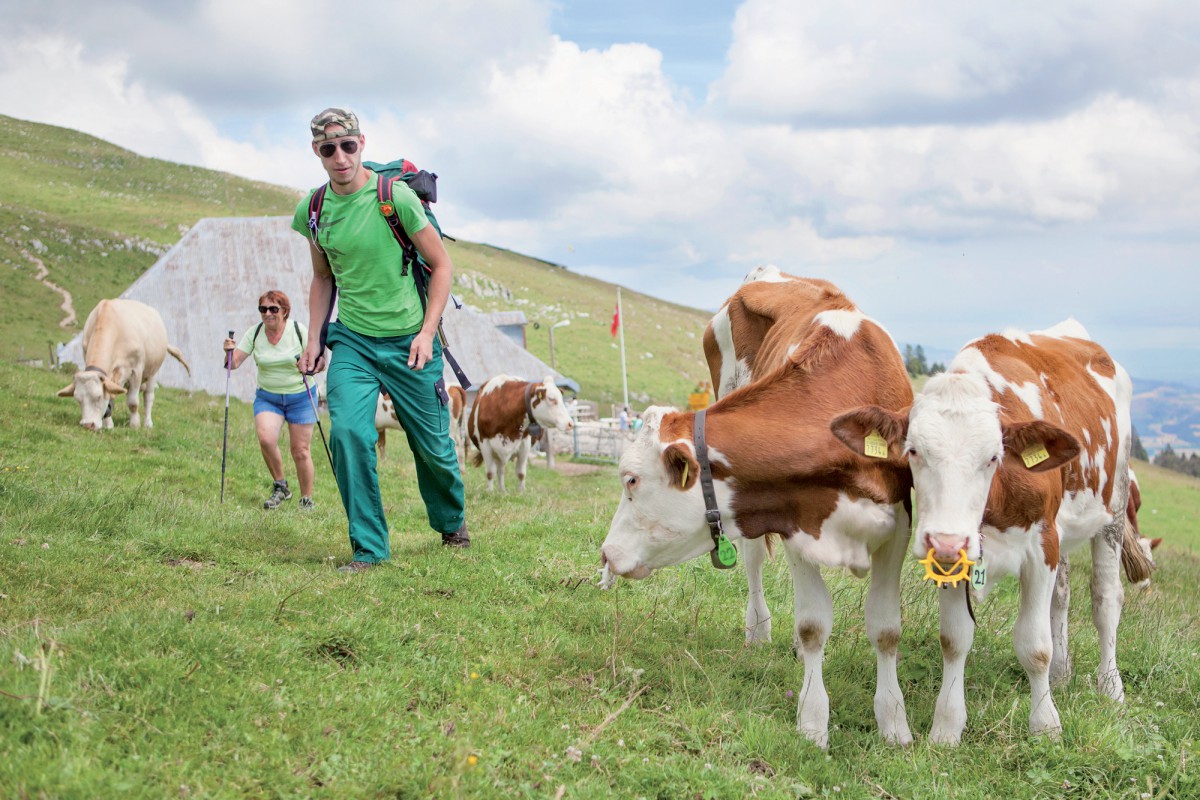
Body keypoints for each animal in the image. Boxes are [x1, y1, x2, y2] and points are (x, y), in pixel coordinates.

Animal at [56, 297, 189, 429]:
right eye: (78, 399)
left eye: (98, 397)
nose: (88, 425)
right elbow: (110, 398)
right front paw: (109, 425)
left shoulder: (136, 370)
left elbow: (133, 402)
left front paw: (134, 425)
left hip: (153, 372)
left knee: (148, 396)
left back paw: (147, 423)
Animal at [604, 278, 912, 748]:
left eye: (632, 480)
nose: (606, 553)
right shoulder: (793, 519)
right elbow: (812, 624)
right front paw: (812, 720)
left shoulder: (899, 526)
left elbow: (886, 627)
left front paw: (895, 722)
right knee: (751, 564)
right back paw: (759, 630)